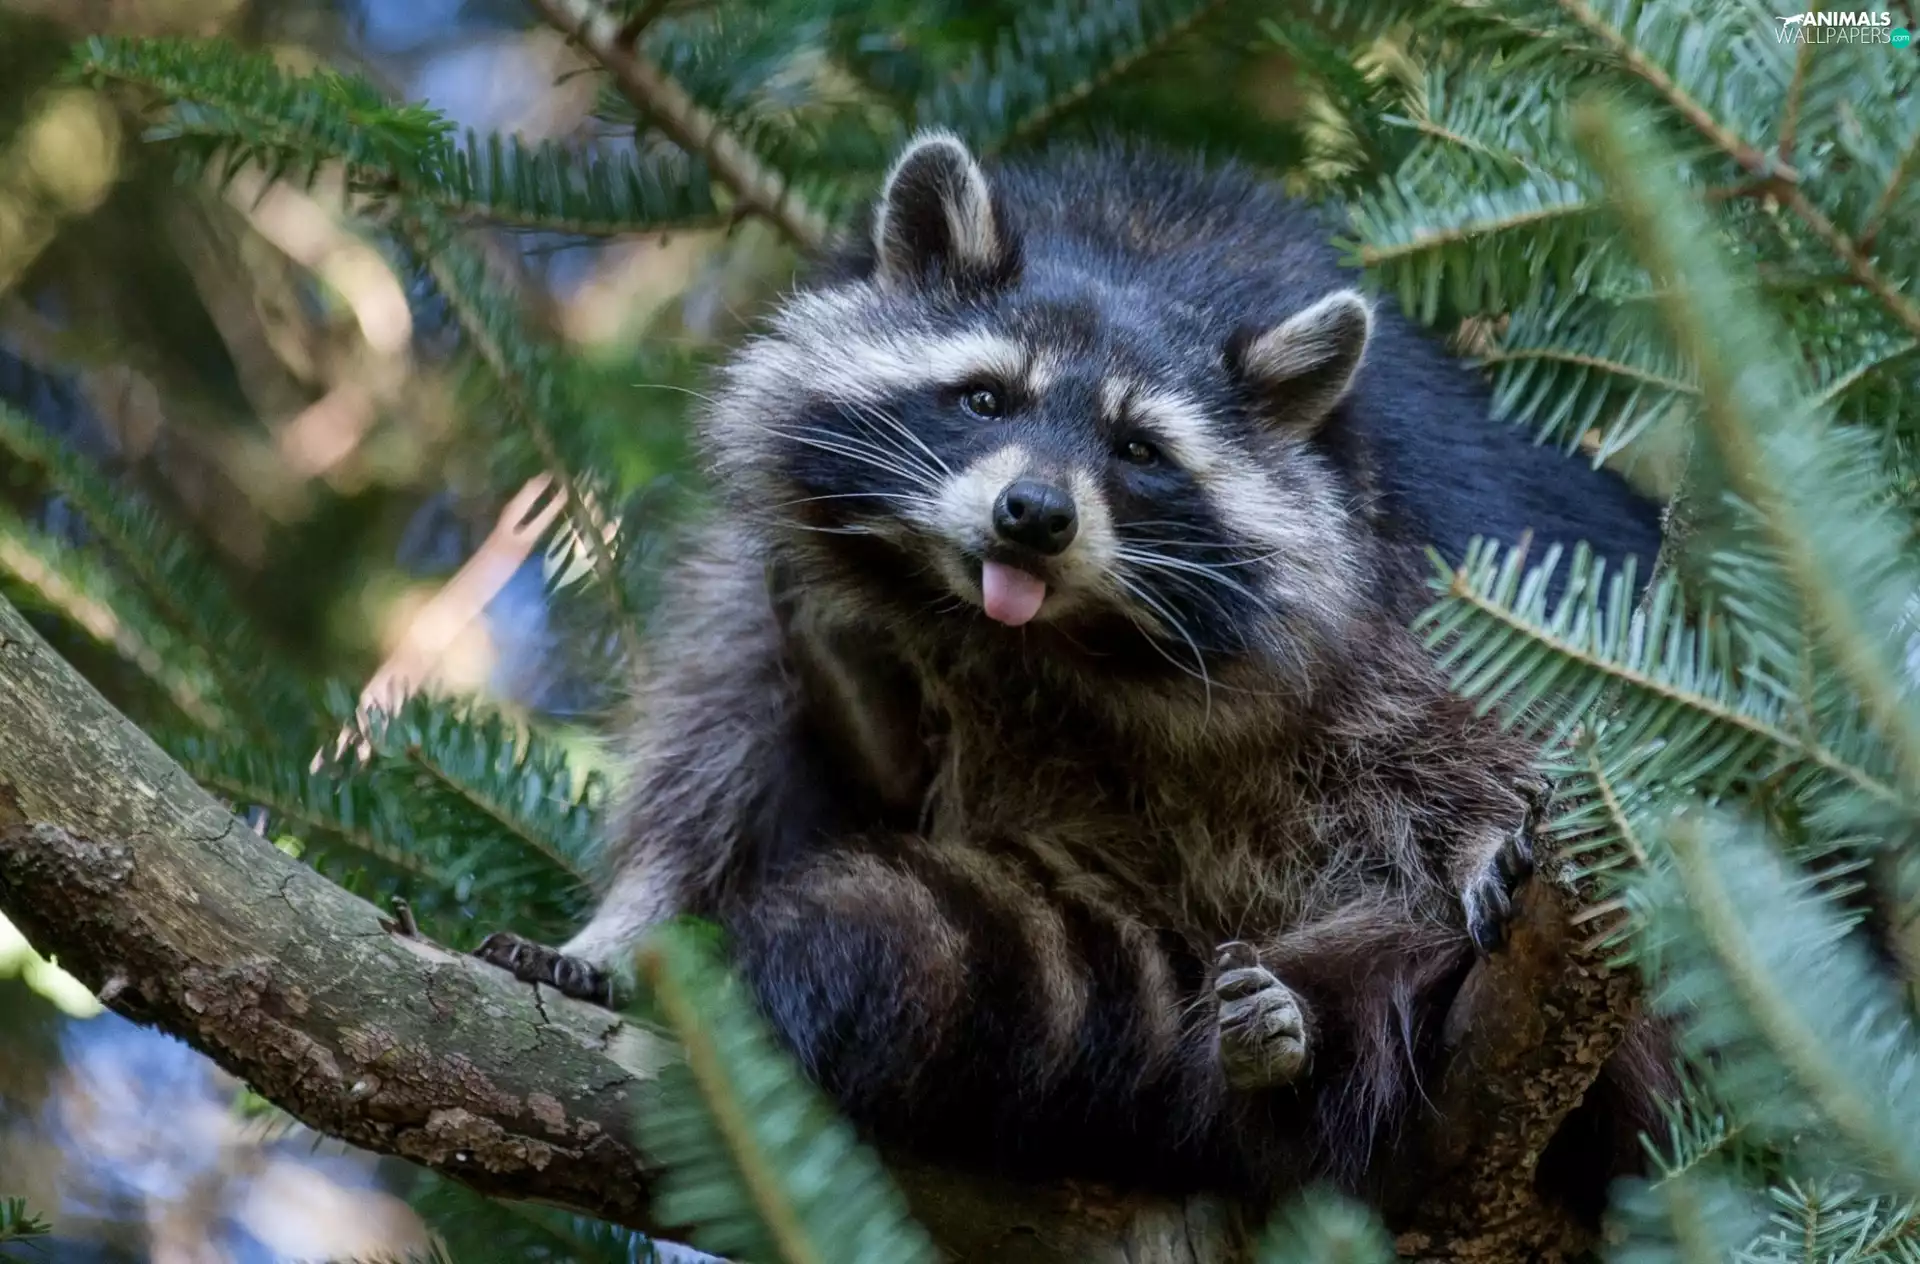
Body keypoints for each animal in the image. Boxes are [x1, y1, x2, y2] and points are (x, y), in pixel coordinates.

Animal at [476, 134, 1667, 1208]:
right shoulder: (780, 562)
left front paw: (1474, 842)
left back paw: (1300, 1032)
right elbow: (717, 737)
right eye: (985, 398)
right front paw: (631, 921)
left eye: (1139, 449)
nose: (1035, 515)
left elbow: (1462, 732)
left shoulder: (1404, 576)